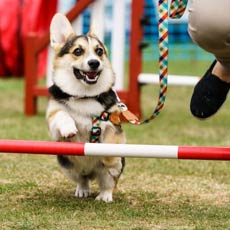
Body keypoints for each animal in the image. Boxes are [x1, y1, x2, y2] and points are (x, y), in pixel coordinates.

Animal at [46, 13, 126, 202]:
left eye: (99, 51)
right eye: (78, 51)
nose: (94, 63)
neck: (84, 95)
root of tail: (91, 172)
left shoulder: (112, 125)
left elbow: (111, 145)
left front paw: (113, 165)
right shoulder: (53, 122)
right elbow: (62, 115)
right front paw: (69, 128)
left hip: (104, 173)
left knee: (107, 183)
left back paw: (105, 196)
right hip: (67, 166)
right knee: (82, 179)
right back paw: (82, 189)